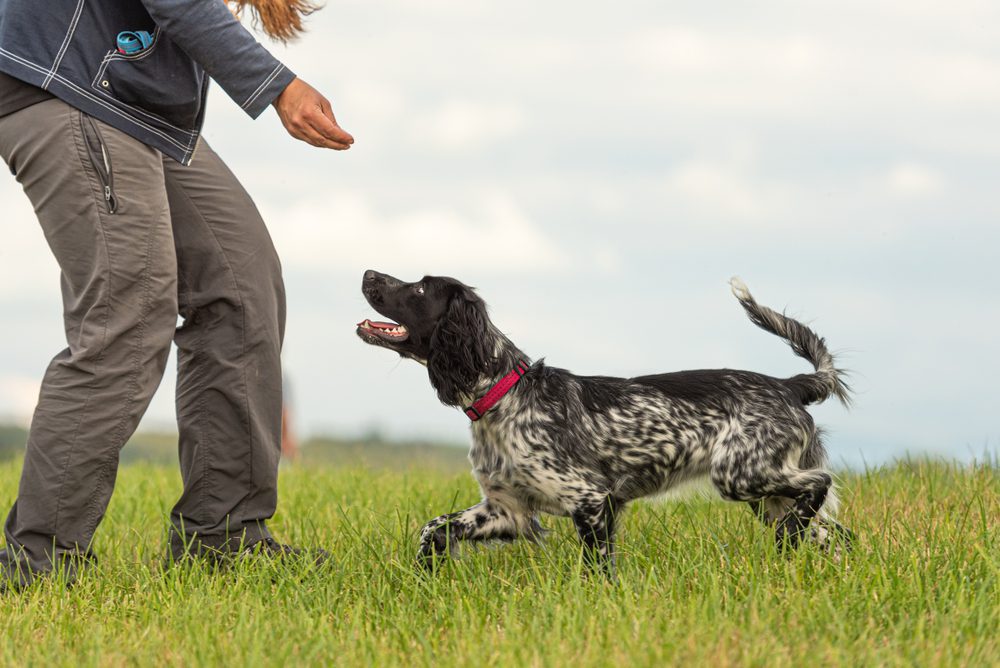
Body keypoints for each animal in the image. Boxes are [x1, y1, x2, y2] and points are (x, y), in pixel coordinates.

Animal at [358, 270, 852, 576]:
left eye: (421, 289)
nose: (367, 274)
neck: (506, 394)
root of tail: (790, 385)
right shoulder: (506, 509)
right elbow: (433, 528)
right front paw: (423, 574)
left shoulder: (592, 500)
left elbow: (596, 570)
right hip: (765, 496)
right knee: (834, 532)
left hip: (742, 476)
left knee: (819, 484)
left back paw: (794, 536)